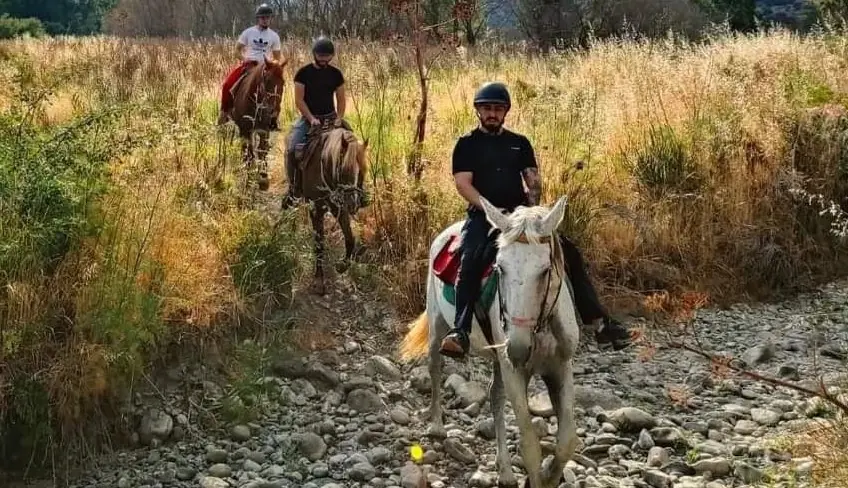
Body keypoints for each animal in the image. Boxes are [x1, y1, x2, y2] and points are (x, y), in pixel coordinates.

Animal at [230, 58, 287, 190]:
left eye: (283, 82)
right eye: (267, 80)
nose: (273, 111)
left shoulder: (264, 130)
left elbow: (262, 150)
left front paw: (263, 177)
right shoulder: (245, 130)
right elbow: (249, 152)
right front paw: (249, 177)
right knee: (246, 149)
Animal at [297, 123, 369, 295]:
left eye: (363, 172)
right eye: (344, 170)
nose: (353, 204)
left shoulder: (340, 209)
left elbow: (350, 239)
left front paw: (342, 266)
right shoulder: (316, 210)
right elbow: (319, 243)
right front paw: (319, 280)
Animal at [399, 196, 580, 488]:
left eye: (544, 271)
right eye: (499, 268)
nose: (518, 347)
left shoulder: (560, 367)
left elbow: (567, 441)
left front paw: (548, 476)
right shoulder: (514, 370)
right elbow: (530, 444)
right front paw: (536, 477)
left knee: (495, 396)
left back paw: (504, 470)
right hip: (438, 327)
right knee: (435, 368)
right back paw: (437, 426)